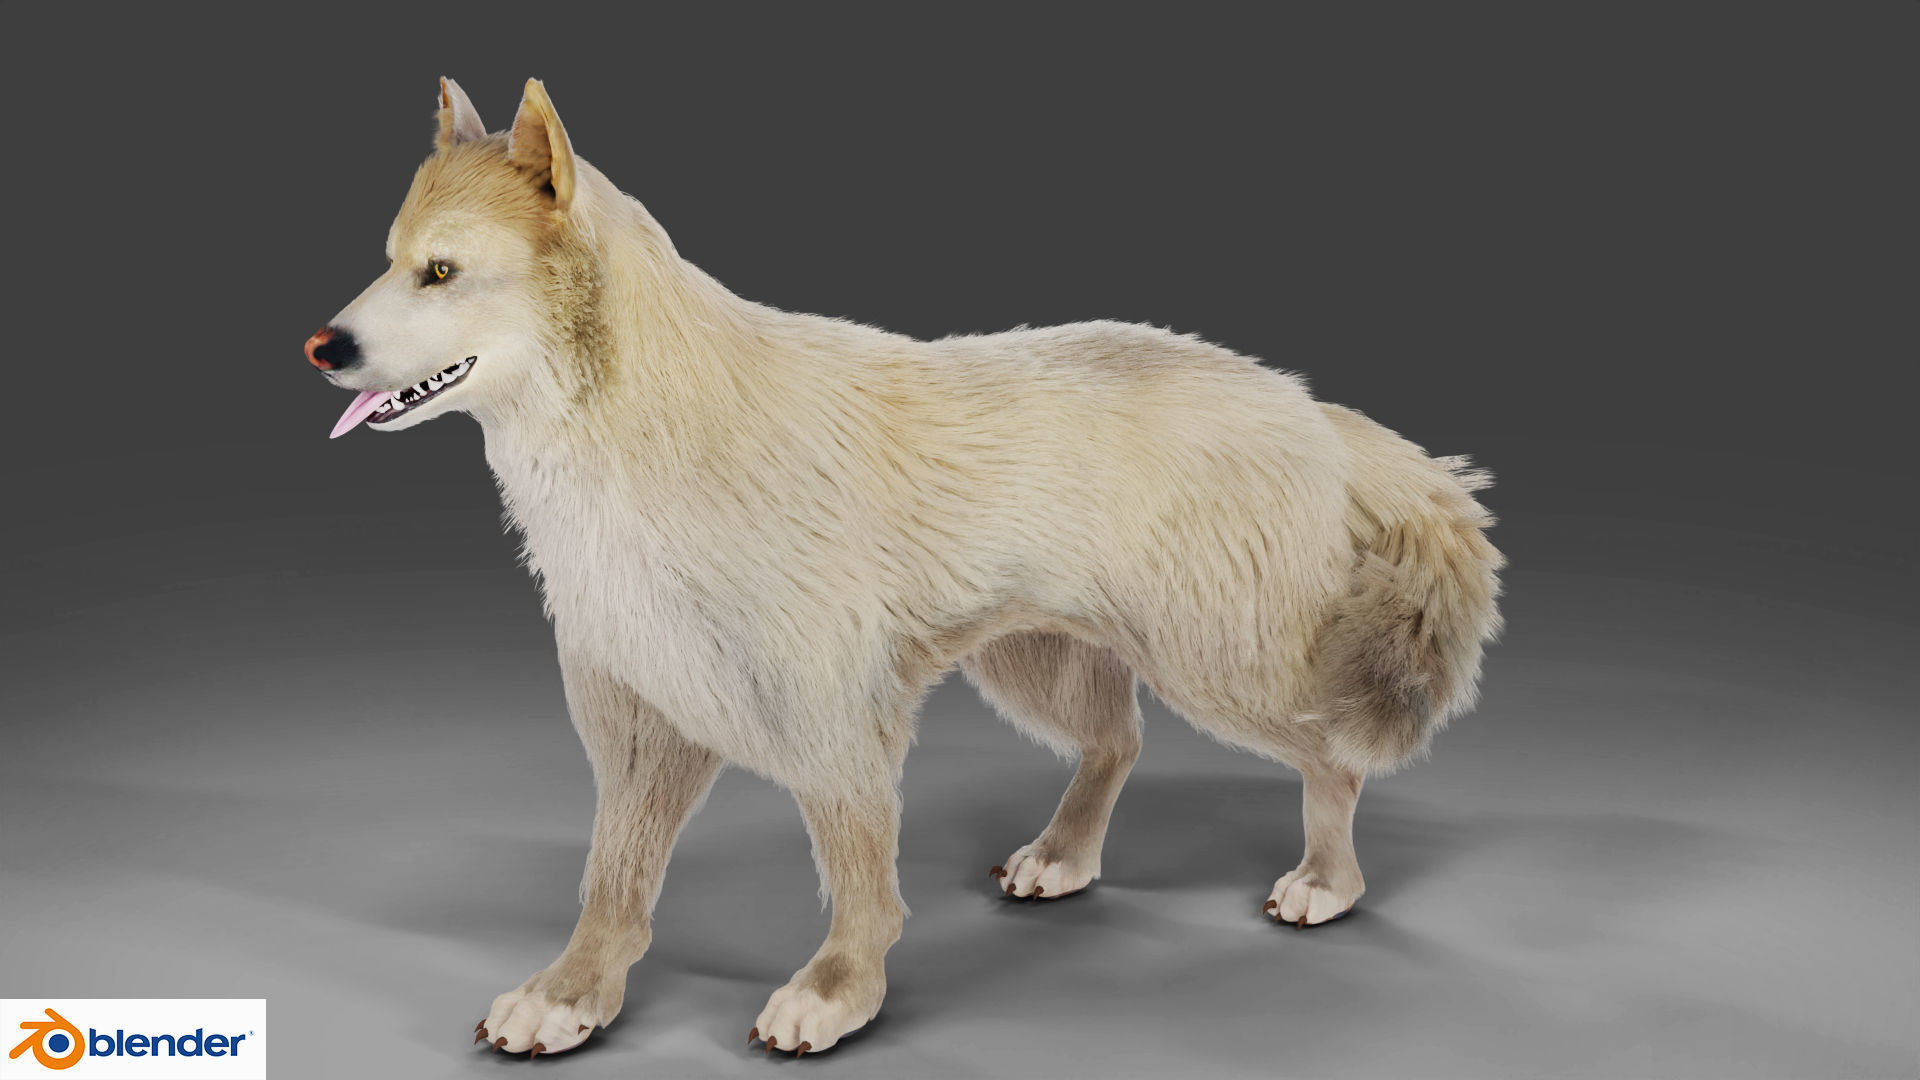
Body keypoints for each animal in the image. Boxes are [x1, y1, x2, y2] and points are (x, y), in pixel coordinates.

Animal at [305, 77, 1504, 1059]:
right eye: (390, 260)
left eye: (441, 271)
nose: (322, 346)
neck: (636, 445)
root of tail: (1306, 404)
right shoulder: (646, 730)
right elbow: (613, 880)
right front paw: (572, 993)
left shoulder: (837, 724)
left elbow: (859, 881)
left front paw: (839, 991)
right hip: (1040, 662)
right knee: (1119, 739)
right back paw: (1064, 854)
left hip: (1220, 665)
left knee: (1330, 757)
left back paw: (1326, 881)